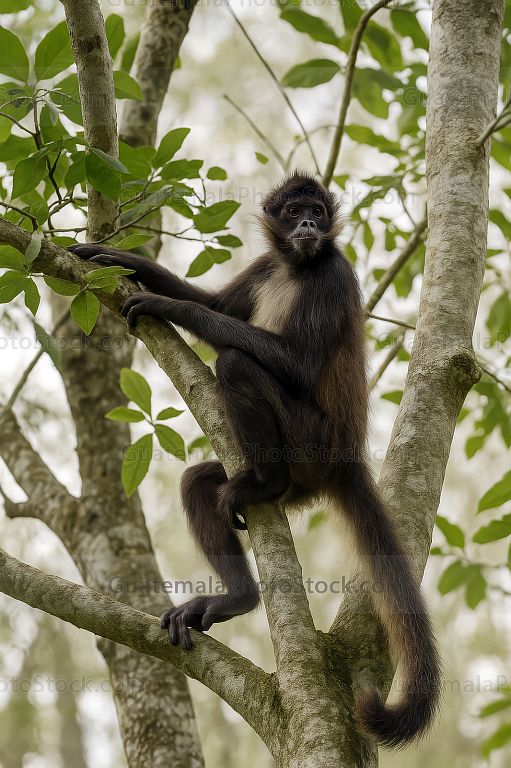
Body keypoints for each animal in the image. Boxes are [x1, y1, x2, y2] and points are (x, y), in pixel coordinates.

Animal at [71, 171, 440, 748]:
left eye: (317, 210)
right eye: (293, 212)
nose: (309, 224)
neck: (297, 266)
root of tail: (347, 455)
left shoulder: (332, 271)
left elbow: (290, 359)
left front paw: (169, 308)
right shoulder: (270, 264)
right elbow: (217, 304)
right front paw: (119, 259)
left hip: (312, 442)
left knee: (236, 363)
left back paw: (263, 483)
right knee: (198, 482)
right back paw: (238, 596)